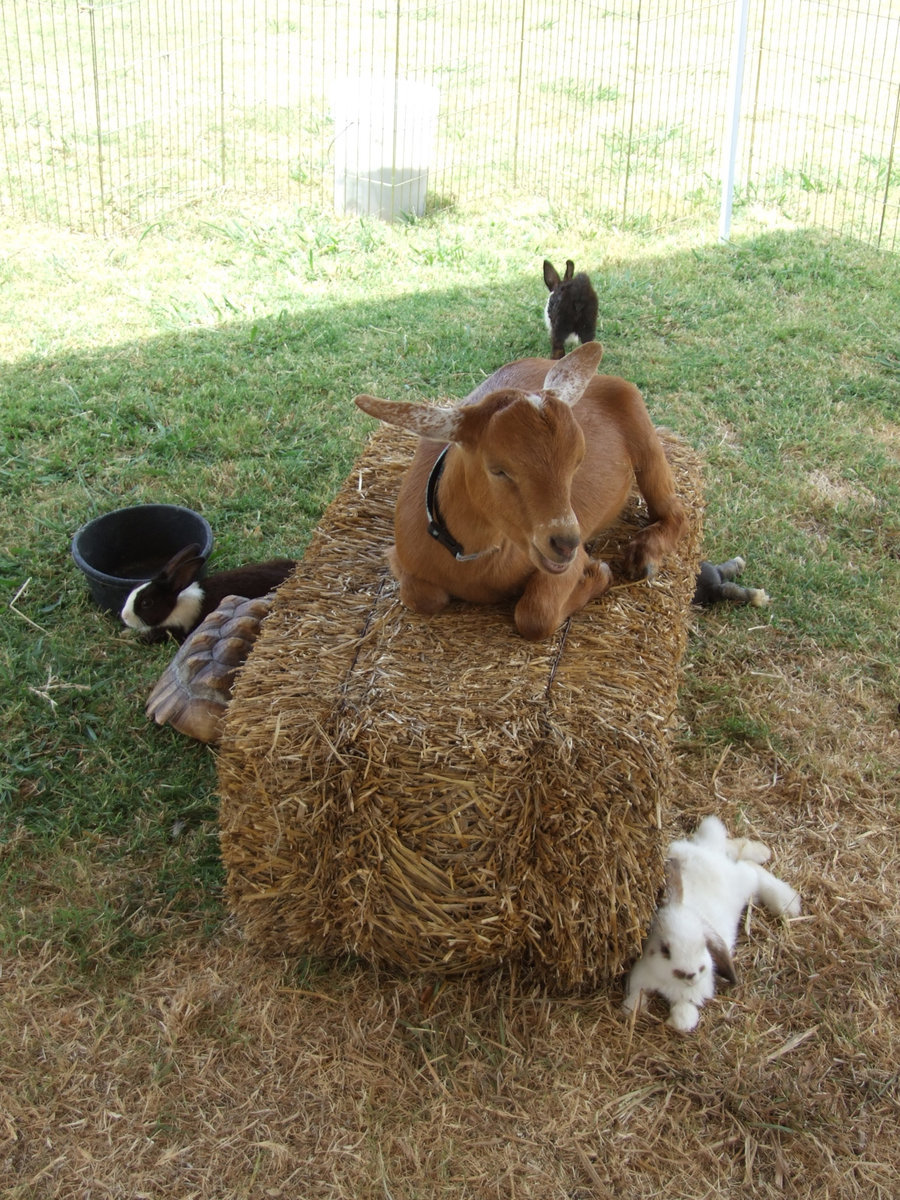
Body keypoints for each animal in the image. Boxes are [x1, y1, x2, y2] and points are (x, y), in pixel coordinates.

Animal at [619, 816, 801, 1032]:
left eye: (704, 945)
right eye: (665, 949)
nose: (690, 974)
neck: (668, 982)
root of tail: (709, 851)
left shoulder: (692, 996)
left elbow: (684, 1018)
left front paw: (673, 1022)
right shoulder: (639, 979)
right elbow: (633, 1001)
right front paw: (632, 1010)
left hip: (741, 881)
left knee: (751, 868)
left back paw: (785, 899)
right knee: (739, 856)